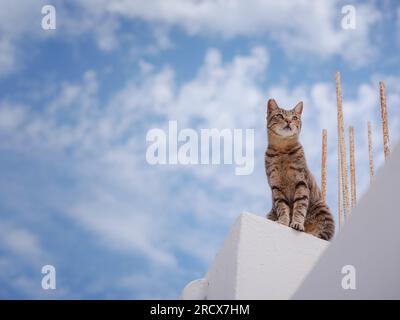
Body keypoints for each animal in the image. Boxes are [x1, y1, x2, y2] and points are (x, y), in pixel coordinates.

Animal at [266, 98, 334, 240]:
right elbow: (282, 207)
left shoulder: (301, 182)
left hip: (321, 208)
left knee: (322, 234)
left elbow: (300, 207)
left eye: (294, 117)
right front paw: (283, 221)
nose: (288, 121)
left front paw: (297, 223)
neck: (282, 150)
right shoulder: (276, 187)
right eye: (279, 115)